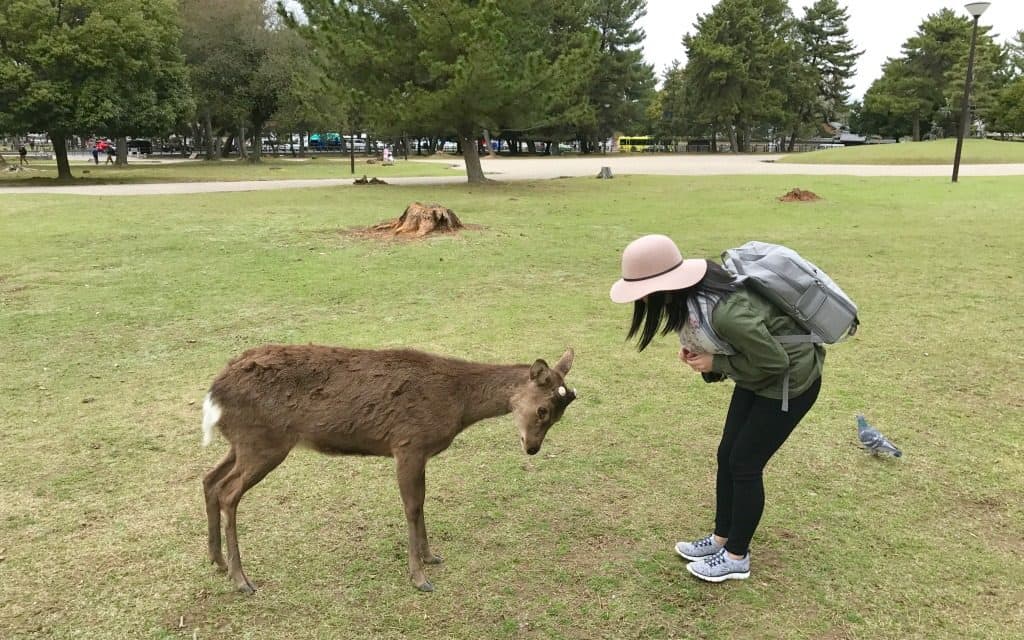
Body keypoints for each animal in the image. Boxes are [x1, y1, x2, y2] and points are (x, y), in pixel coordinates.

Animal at [200, 344, 576, 593]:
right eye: (543, 409)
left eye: (560, 415)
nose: (532, 448)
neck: (456, 405)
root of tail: (214, 391)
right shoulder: (408, 443)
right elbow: (411, 507)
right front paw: (420, 578)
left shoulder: (419, 451)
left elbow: (421, 503)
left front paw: (431, 556)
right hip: (264, 442)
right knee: (228, 492)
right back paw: (241, 580)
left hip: (243, 443)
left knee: (210, 480)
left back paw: (218, 561)